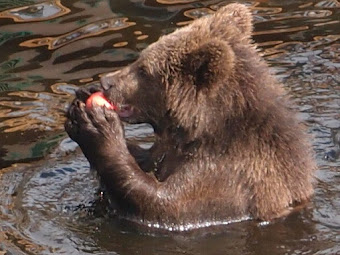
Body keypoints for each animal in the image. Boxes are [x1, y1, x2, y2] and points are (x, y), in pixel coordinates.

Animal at [65, 2, 316, 229]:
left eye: (144, 70)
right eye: (139, 59)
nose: (106, 82)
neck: (205, 127)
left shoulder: (226, 173)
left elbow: (165, 205)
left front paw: (97, 127)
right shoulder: (169, 149)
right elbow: (148, 160)